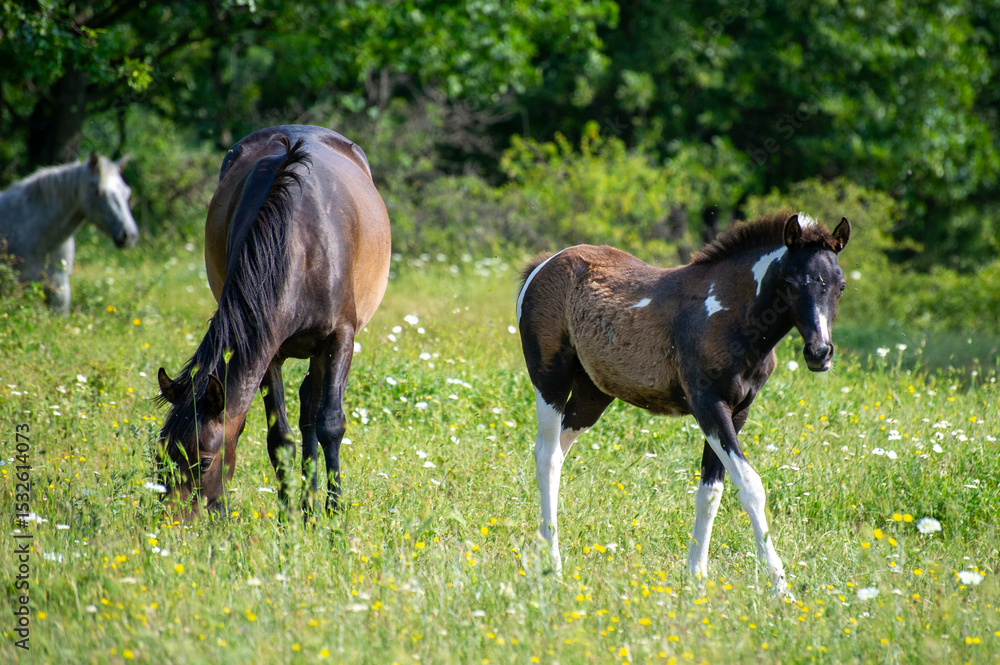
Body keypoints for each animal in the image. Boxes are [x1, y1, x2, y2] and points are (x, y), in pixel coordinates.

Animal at [155, 125, 391, 520]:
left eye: (203, 462)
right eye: (161, 457)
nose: (173, 523)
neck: (302, 246)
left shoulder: (340, 338)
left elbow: (331, 424)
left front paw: (334, 513)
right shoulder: (268, 350)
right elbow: (280, 437)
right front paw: (288, 514)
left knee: (314, 410)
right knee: (306, 410)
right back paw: (307, 506)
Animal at [516, 211, 850, 599]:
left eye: (840, 286)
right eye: (792, 283)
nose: (819, 353)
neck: (731, 316)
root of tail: (543, 264)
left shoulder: (737, 412)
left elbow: (711, 491)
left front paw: (696, 577)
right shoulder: (708, 406)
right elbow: (750, 486)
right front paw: (783, 590)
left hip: (593, 393)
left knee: (556, 452)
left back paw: (541, 551)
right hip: (550, 379)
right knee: (546, 456)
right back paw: (552, 565)